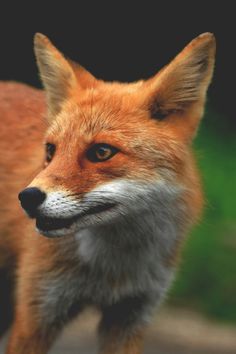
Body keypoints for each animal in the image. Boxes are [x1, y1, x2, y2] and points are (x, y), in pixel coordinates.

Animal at [0, 31, 215, 352]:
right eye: (51, 151)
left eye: (101, 152)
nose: (28, 197)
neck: (114, 270)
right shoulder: (38, 312)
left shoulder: (131, 316)